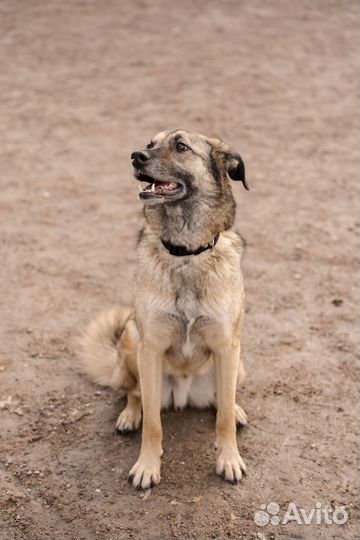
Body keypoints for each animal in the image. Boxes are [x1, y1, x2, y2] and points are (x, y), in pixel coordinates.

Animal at [80, 130, 250, 490]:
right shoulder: (151, 347)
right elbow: (153, 424)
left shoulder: (227, 346)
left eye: (181, 146)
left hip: (238, 362)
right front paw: (147, 466)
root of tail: (183, 391)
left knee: (224, 400)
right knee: (134, 393)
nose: (135, 156)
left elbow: (224, 418)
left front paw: (229, 459)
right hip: (132, 339)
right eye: (150, 143)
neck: (186, 253)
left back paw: (237, 408)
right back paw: (130, 415)